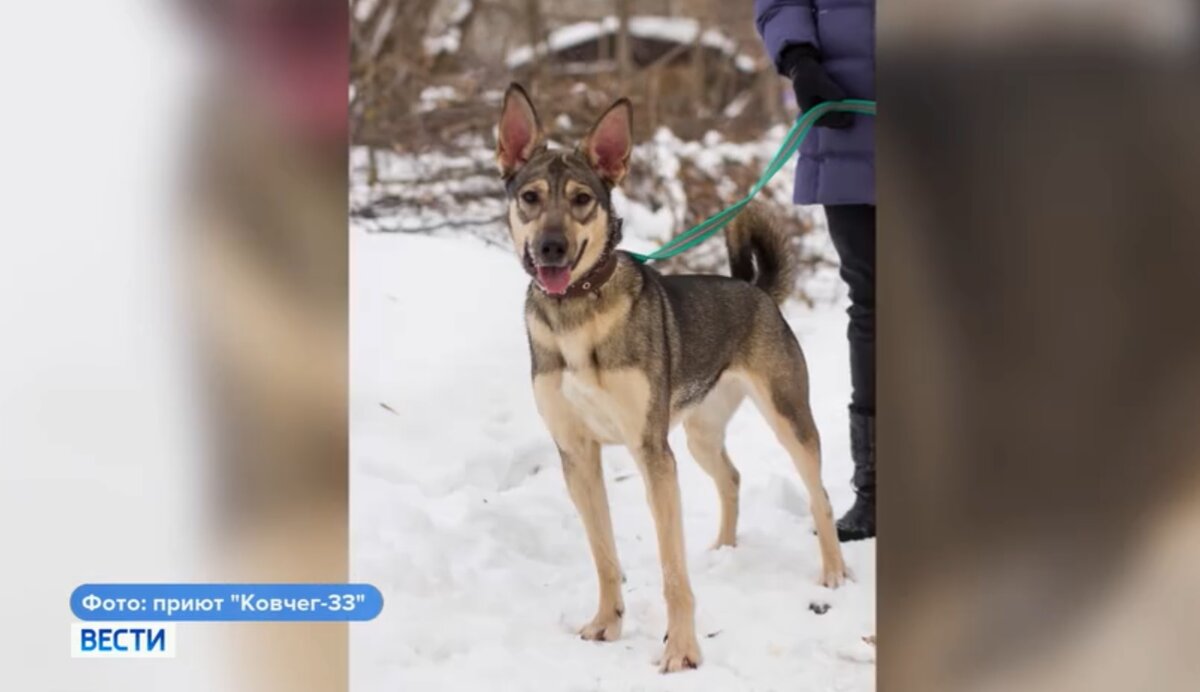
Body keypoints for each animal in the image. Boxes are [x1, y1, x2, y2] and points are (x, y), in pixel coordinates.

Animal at [492, 83, 849, 671]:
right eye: (531, 197)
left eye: (582, 199)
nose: (551, 248)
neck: (576, 315)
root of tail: (756, 290)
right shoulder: (577, 454)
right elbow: (603, 555)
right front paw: (606, 624)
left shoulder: (652, 453)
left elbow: (671, 571)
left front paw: (681, 650)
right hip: (700, 433)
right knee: (731, 478)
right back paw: (725, 550)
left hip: (789, 418)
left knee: (818, 495)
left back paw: (836, 573)